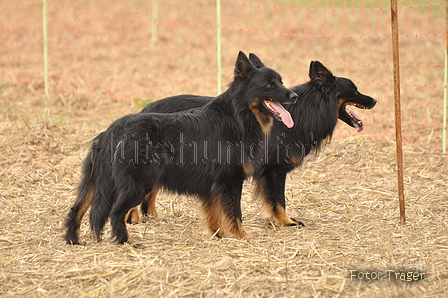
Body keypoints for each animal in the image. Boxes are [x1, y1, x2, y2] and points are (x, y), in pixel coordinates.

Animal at [65, 51, 298, 244]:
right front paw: (242, 236)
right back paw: (126, 241)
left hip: (98, 182)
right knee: (115, 212)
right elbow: (235, 213)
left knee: (77, 208)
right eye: (269, 85)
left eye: (280, 81)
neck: (237, 115)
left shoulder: (214, 186)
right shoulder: (230, 180)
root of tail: (116, 128)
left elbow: (215, 214)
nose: (294, 97)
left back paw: (73, 240)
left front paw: (219, 235)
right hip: (137, 184)